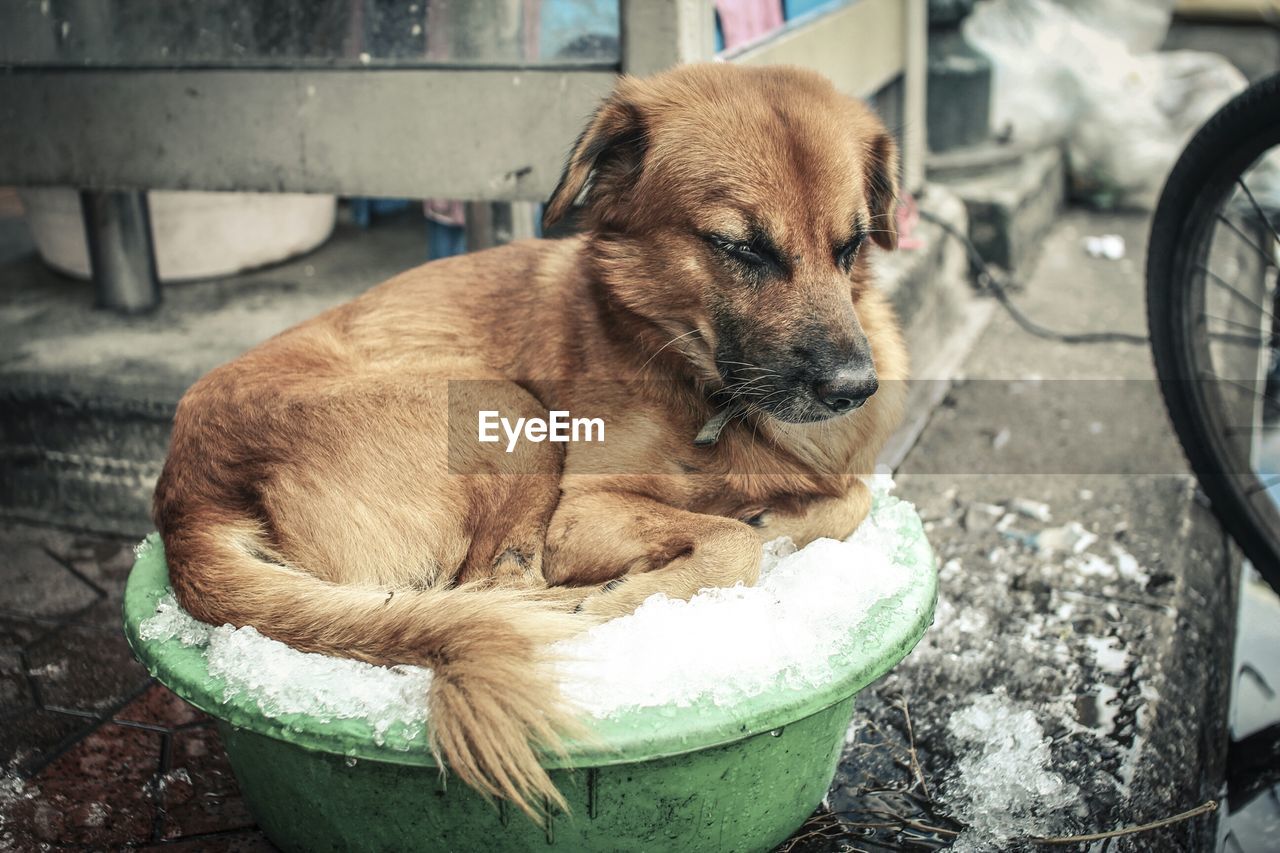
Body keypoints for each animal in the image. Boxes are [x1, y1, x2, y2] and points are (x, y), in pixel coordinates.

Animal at [152, 61, 911, 819]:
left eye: (851, 246)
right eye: (739, 246)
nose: (852, 388)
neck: (696, 383)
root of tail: (184, 496)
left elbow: (847, 500)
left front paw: (778, 520)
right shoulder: (581, 511)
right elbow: (734, 543)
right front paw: (665, 574)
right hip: (507, 410)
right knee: (500, 586)